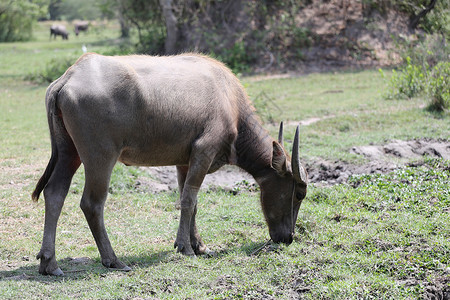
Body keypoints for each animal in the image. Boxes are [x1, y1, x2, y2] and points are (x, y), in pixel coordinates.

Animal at [30, 52, 306, 276]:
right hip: (100, 157)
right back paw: (113, 259)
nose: (288, 237)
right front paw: (186, 247)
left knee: (55, 193)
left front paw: (198, 245)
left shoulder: (185, 163)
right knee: (91, 203)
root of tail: (69, 77)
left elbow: (191, 202)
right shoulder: (203, 152)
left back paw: (49, 263)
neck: (228, 98)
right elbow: (188, 200)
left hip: (69, 152)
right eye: (299, 193)